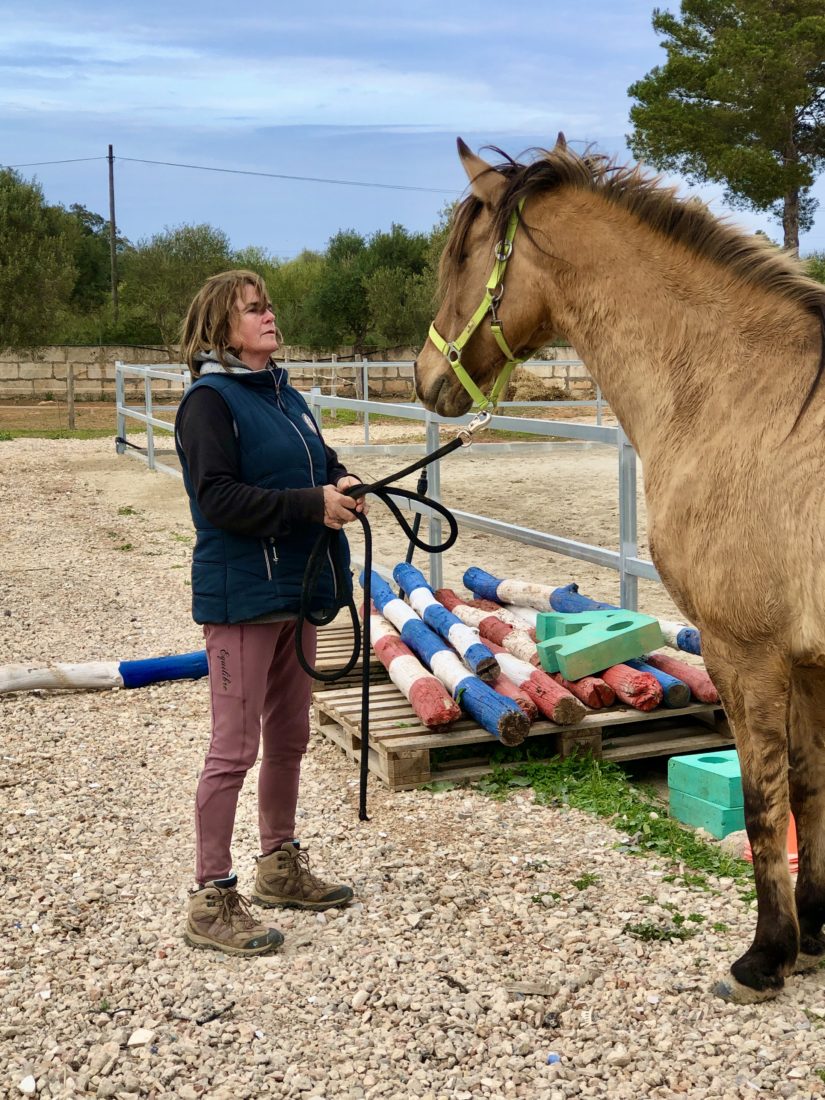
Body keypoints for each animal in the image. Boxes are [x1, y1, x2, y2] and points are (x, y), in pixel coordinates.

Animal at [415, 133, 825, 1003]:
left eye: (460, 254)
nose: (425, 380)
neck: (748, 399)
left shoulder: (745, 655)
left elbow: (765, 801)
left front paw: (763, 957)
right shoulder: (801, 663)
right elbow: (808, 787)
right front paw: (812, 934)